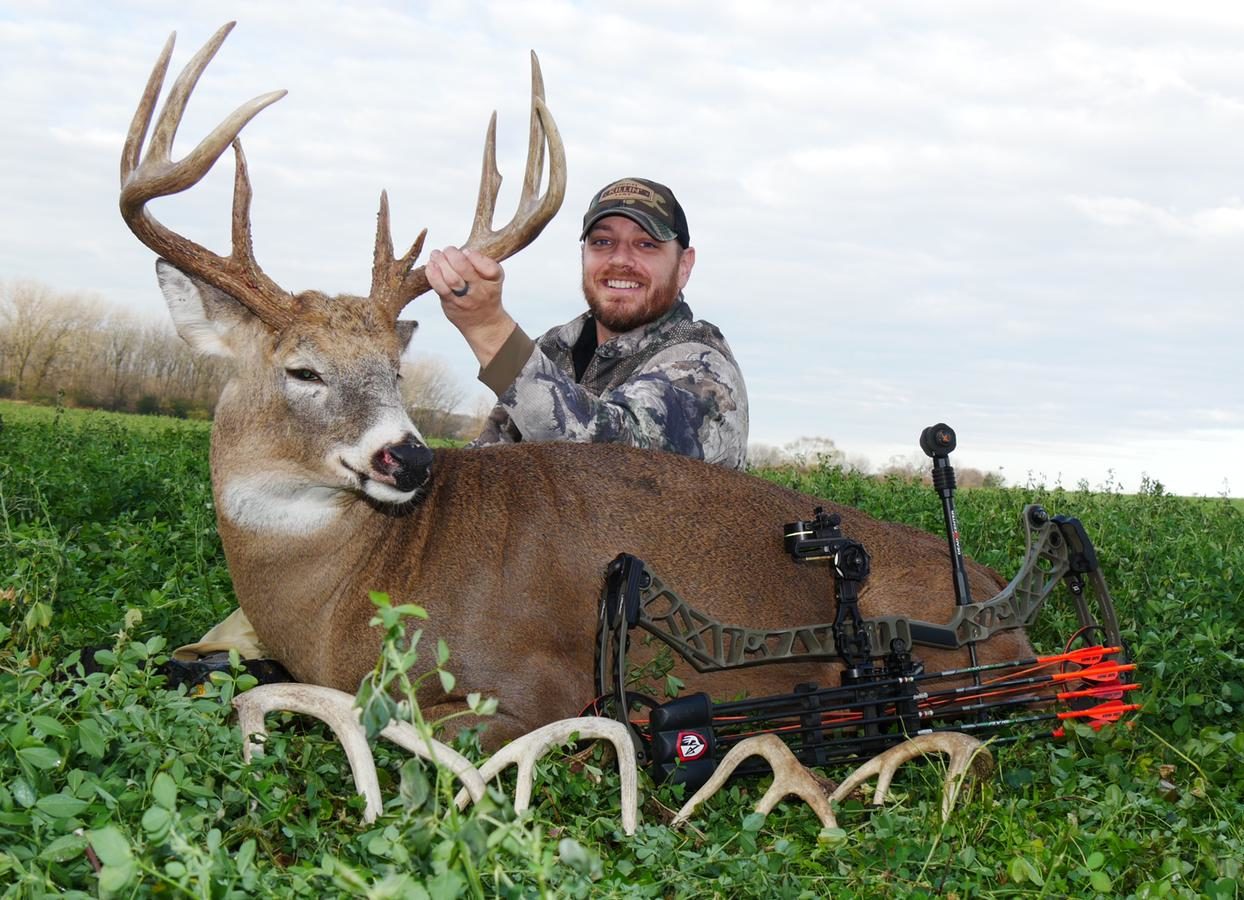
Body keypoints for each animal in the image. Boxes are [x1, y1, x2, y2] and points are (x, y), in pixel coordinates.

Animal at [121, 23, 1028, 829]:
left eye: (393, 367)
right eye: (302, 370)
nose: (408, 458)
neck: (341, 589)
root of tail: (1000, 602)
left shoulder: (532, 682)